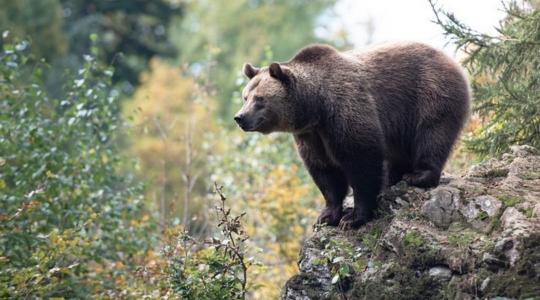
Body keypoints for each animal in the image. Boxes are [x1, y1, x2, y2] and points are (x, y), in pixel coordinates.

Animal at [235, 42, 468, 230]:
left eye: (260, 99)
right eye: (245, 97)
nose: (240, 117)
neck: (315, 107)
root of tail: (452, 60)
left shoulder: (345, 109)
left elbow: (361, 160)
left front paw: (353, 218)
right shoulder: (311, 135)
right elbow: (324, 171)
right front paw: (326, 216)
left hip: (430, 93)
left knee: (432, 135)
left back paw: (419, 175)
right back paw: (393, 178)